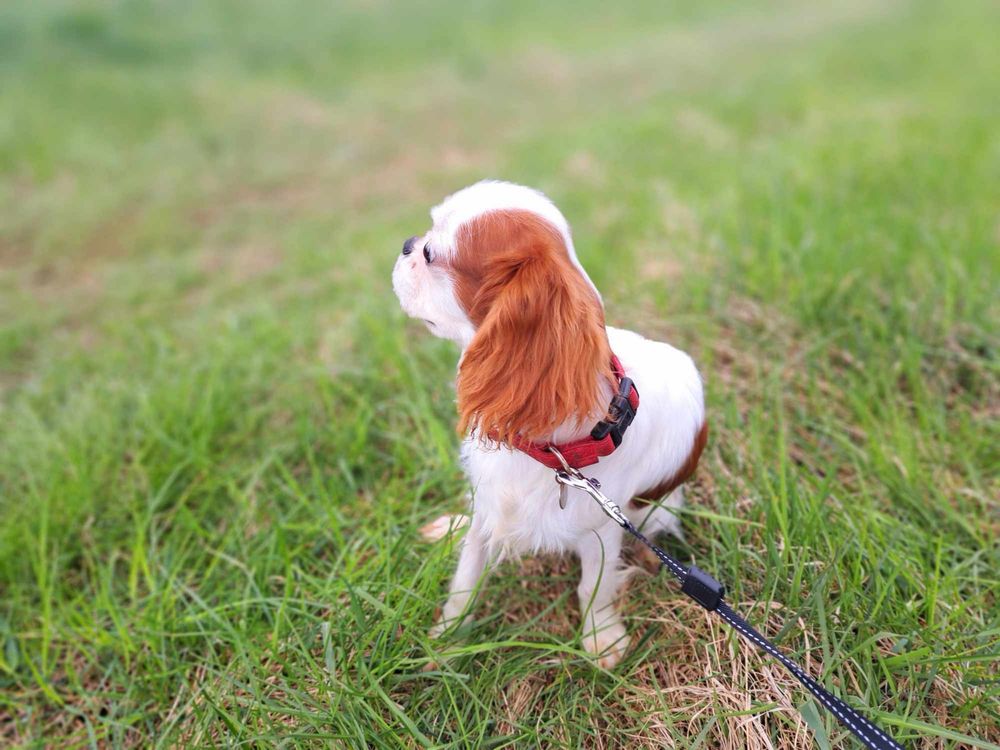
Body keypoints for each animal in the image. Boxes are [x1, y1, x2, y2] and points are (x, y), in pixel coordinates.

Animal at [394, 182, 708, 668]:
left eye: (429, 253)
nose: (407, 243)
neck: (556, 453)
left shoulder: (601, 528)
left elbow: (593, 586)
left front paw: (601, 637)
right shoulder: (489, 500)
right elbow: (466, 575)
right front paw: (448, 638)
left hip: (659, 510)